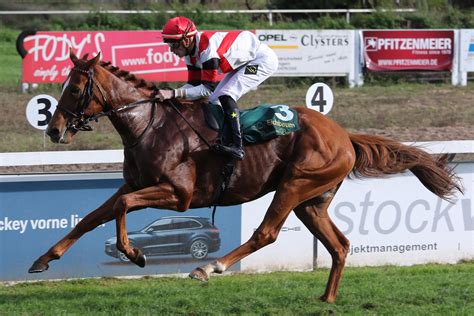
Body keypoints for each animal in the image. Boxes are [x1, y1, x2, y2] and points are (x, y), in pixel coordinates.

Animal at [28, 52, 460, 304]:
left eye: (76, 87)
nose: (55, 130)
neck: (148, 125)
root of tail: (344, 135)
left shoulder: (179, 194)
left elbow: (120, 206)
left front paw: (134, 253)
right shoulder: (135, 183)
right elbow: (92, 217)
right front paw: (43, 259)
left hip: (294, 185)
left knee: (266, 233)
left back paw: (209, 268)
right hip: (311, 202)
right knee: (339, 245)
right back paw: (327, 299)